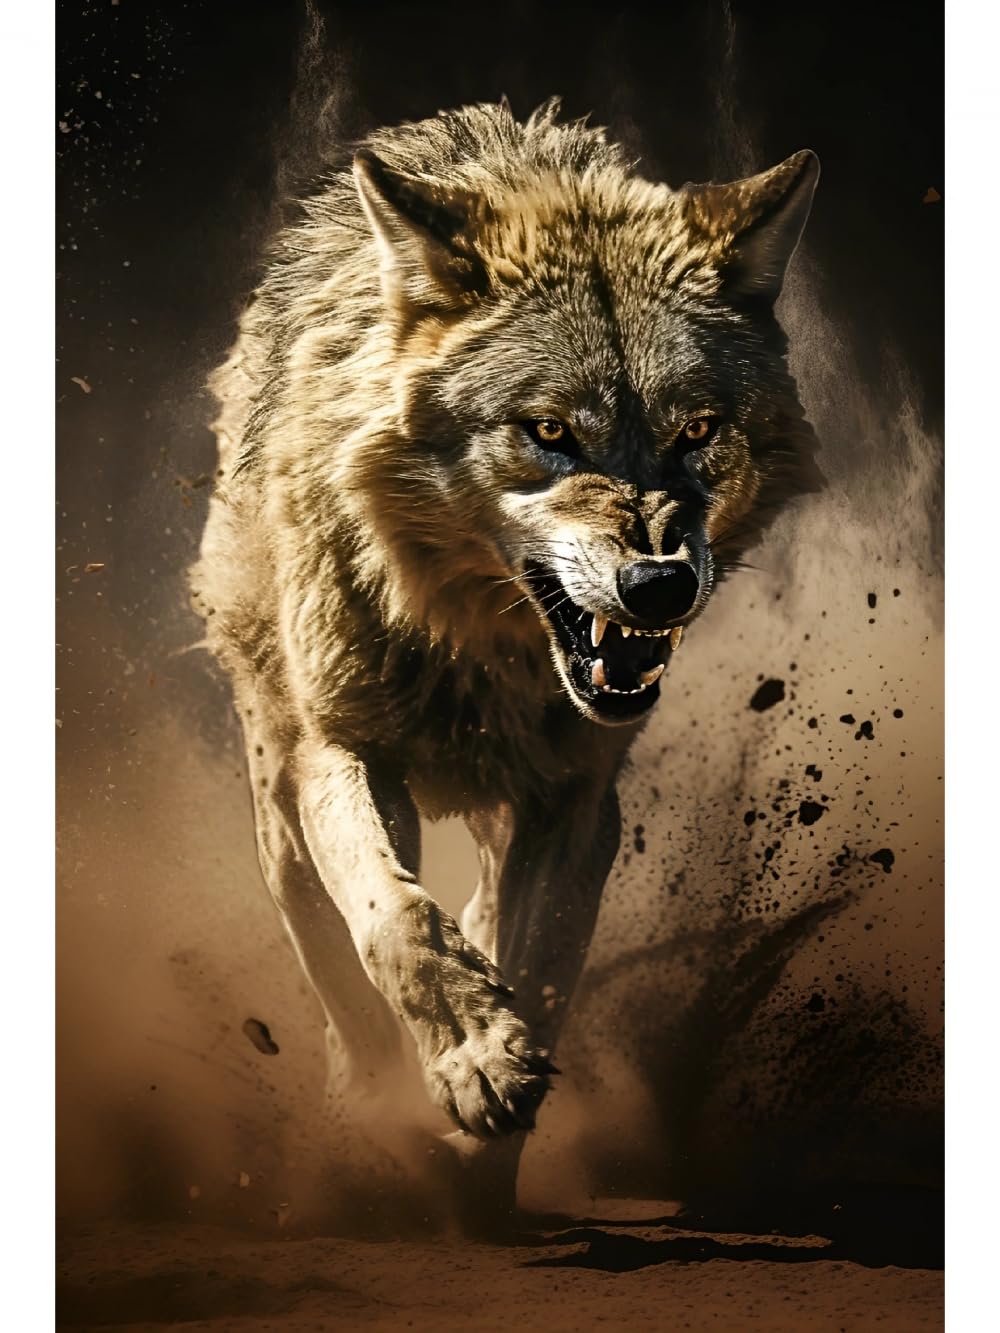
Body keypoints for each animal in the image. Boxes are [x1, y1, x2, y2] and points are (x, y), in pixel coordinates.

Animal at [190, 98, 821, 1222]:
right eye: (549, 431)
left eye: (698, 430)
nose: (660, 584)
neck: (477, 652)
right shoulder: (346, 757)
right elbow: (398, 922)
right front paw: (471, 1064)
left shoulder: (575, 804)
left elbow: (539, 972)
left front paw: (485, 1164)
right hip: (279, 805)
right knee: (338, 969)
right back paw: (366, 1113)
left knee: (485, 918)